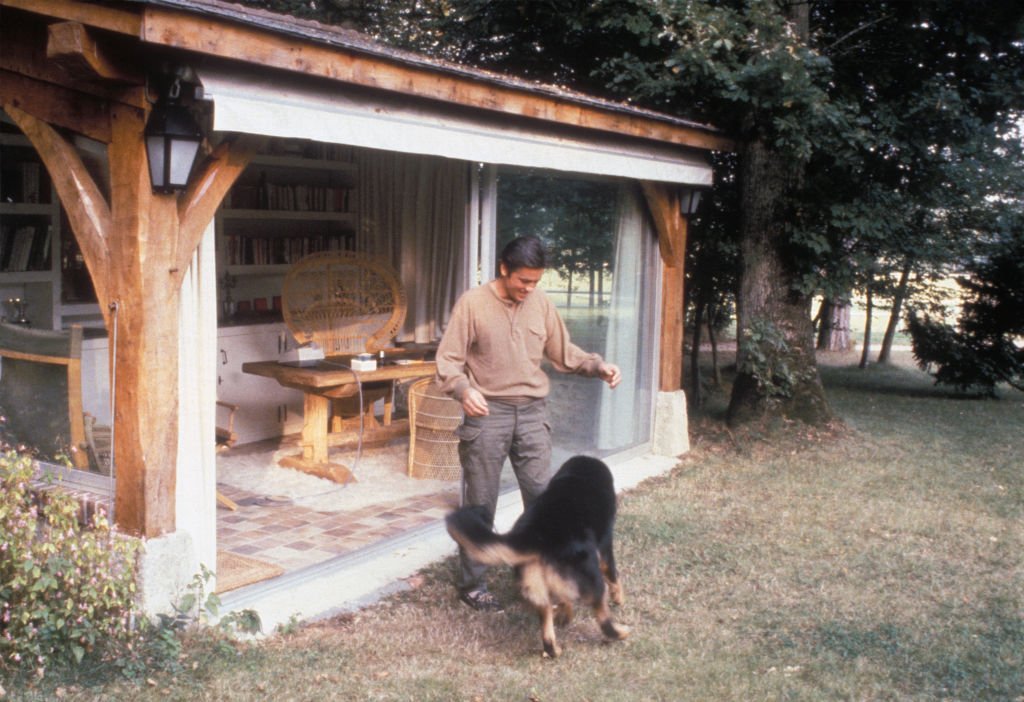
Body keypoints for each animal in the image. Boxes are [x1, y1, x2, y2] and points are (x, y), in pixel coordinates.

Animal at [446, 456, 626, 659]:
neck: (579, 476)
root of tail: (534, 535)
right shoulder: (604, 549)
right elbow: (613, 576)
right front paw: (619, 598)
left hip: (539, 587)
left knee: (549, 631)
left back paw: (558, 639)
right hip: (591, 579)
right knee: (603, 620)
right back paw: (621, 632)